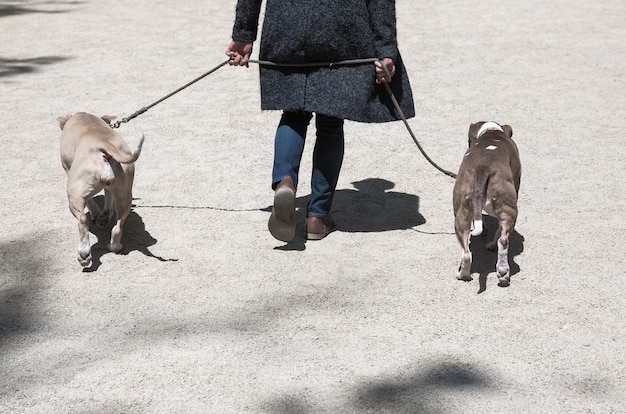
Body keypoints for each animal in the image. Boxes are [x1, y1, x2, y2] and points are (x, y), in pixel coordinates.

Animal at [57, 112, 143, 268]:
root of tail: (103, 144)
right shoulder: (111, 188)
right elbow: (108, 199)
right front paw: (104, 216)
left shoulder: (68, 171)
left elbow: (91, 203)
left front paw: (97, 215)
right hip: (124, 194)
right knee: (118, 226)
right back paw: (115, 246)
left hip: (74, 195)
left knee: (82, 220)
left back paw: (84, 254)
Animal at [450, 121, 520, 286]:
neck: (491, 132)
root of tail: (483, 167)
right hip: (509, 209)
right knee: (503, 239)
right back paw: (502, 270)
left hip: (461, 214)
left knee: (467, 253)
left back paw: (464, 274)